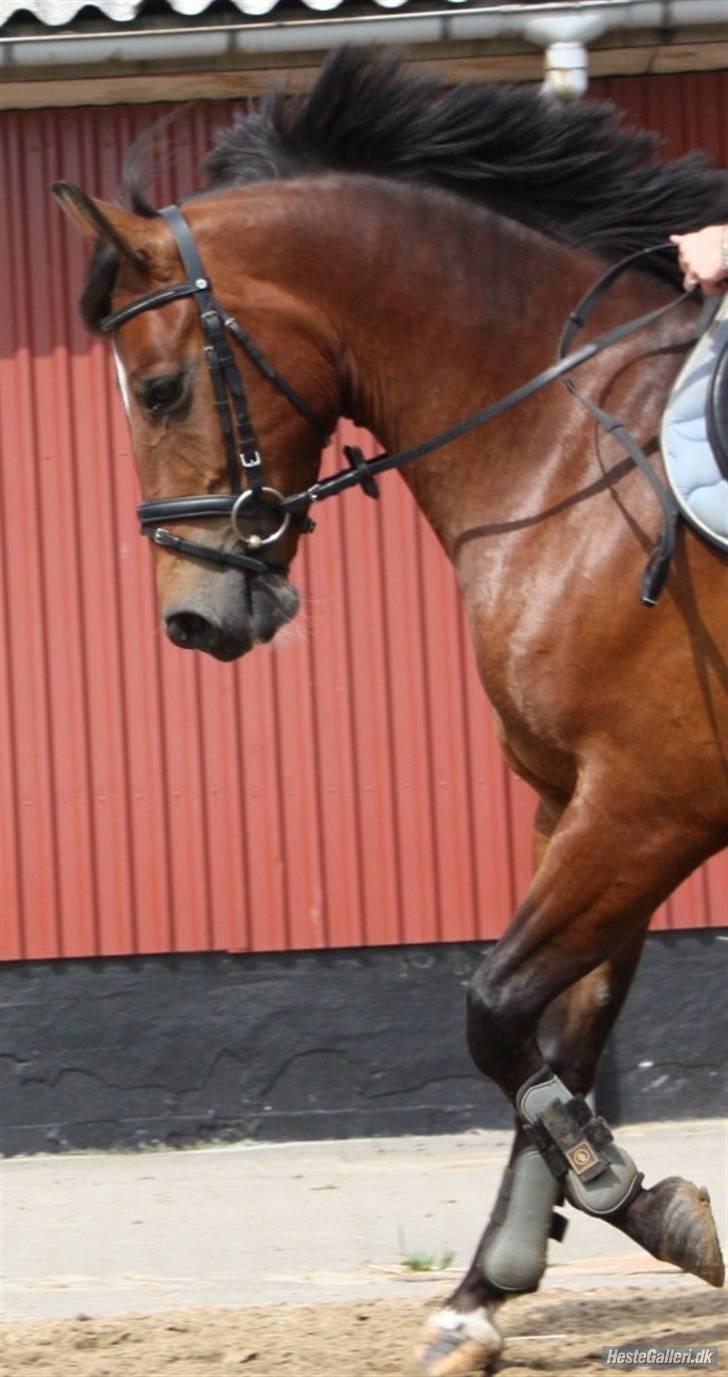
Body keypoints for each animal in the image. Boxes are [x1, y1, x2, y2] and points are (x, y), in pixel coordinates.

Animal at [53, 50, 727, 1377]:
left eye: (159, 387)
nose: (192, 621)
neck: (565, 451)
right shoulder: (577, 803)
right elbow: (553, 1037)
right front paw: (482, 1293)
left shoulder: (650, 802)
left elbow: (495, 1016)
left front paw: (648, 1208)